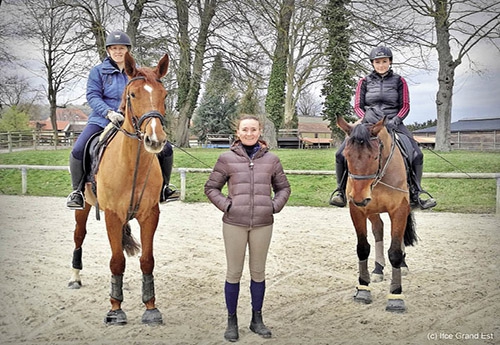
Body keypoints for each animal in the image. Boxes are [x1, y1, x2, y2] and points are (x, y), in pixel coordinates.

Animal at [68, 51, 170, 326]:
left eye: (164, 95)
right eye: (132, 95)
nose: (155, 140)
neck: (132, 164)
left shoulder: (150, 215)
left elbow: (147, 261)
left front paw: (150, 307)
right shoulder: (112, 216)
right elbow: (116, 262)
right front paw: (115, 309)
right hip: (84, 207)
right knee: (79, 236)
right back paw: (75, 277)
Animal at [338, 115, 416, 312]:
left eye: (374, 157)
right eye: (346, 156)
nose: (359, 197)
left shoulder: (399, 210)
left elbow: (395, 251)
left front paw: (396, 296)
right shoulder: (357, 211)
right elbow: (362, 248)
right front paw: (363, 288)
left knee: (398, 238)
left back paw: (403, 266)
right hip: (372, 211)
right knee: (378, 230)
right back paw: (378, 269)